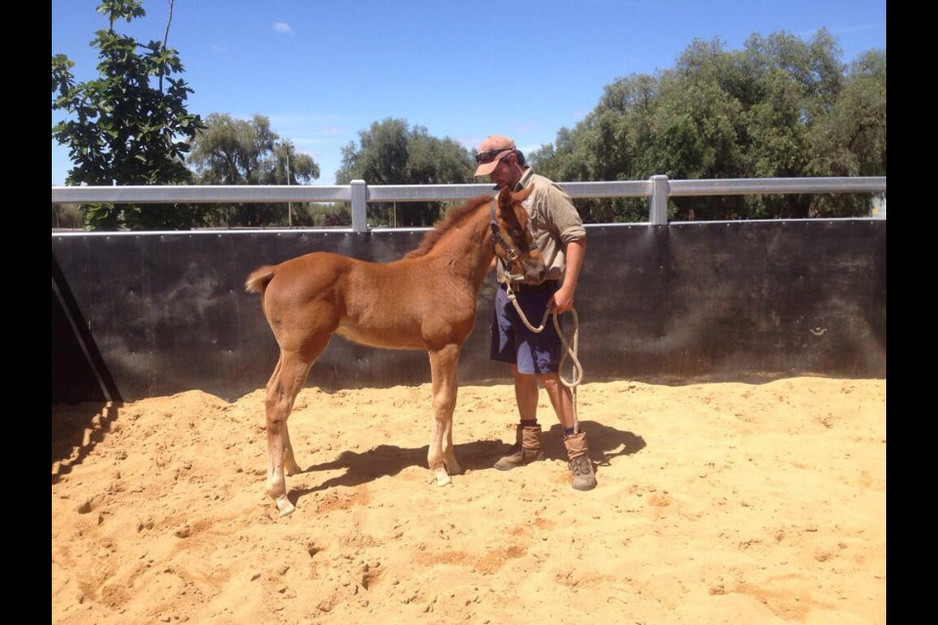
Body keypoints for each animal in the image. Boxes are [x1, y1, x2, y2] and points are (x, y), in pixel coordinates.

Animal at [245, 186, 544, 516]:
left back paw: (291, 466)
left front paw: (452, 463)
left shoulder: (454, 348)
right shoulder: (440, 348)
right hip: (302, 352)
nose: (540, 270)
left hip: (289, 352)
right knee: (278, 403)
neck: (447, 273)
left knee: (272, 395)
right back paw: (280, 495)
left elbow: (452, 399)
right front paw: (438, 469)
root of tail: (276, 271)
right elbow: (441, 401)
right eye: (514, 227)